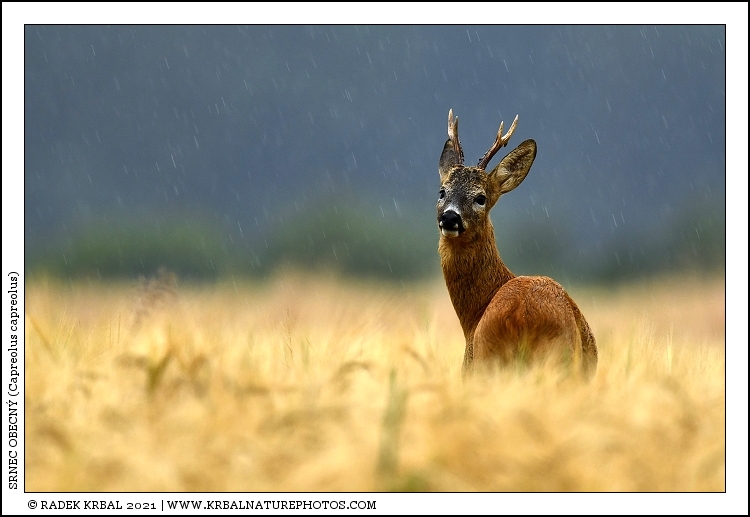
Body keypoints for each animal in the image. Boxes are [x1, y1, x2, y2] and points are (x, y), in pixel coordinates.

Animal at [437, 109, 597, 376]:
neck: (473, 315)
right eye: (442, 192)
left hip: (487, 361)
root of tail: (521, 316)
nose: (450, 217)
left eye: (481, 198)